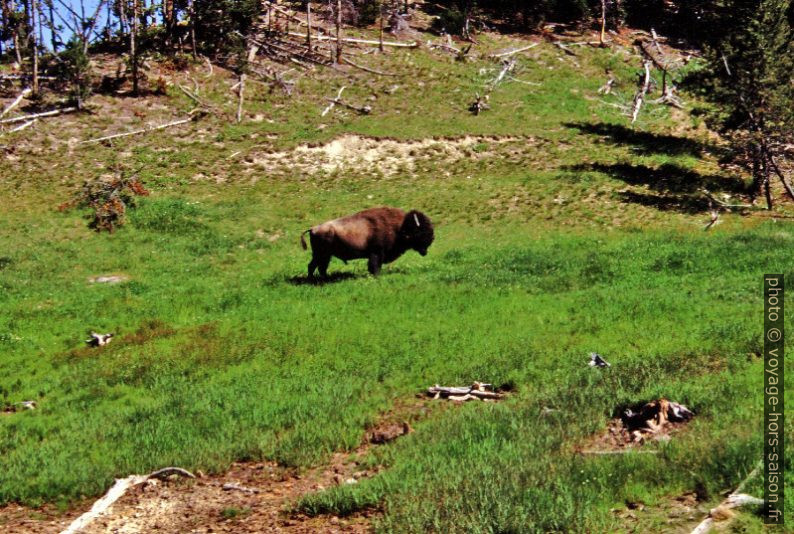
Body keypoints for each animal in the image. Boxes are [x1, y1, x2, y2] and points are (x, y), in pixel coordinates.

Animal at [298, 207, 434, 278]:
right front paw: (376, 276)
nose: (432, 239)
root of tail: (313, 228)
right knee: (314, 266)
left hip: (324, 255)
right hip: (322, 255)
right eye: (419, 230)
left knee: (318, 267)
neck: (400, 226)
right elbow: (375, 266)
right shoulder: (377, 253)